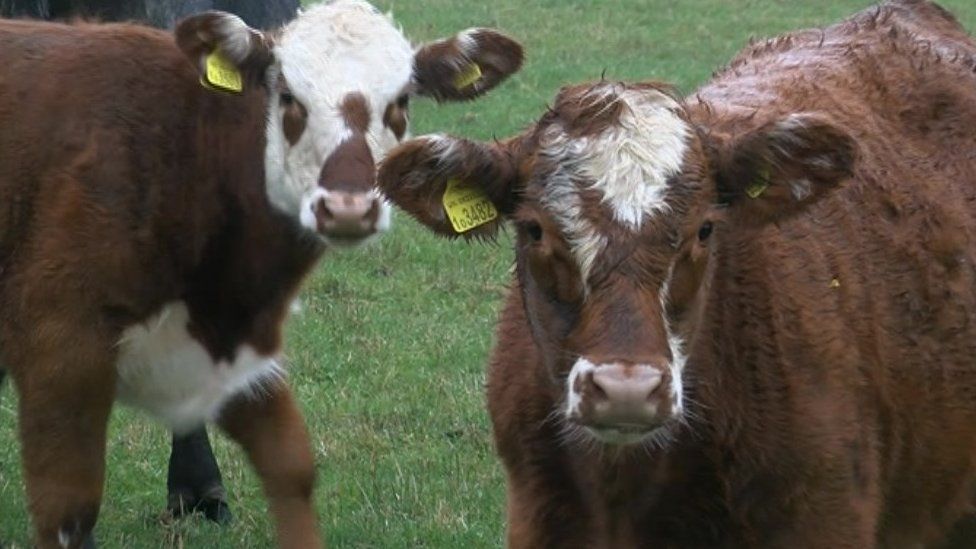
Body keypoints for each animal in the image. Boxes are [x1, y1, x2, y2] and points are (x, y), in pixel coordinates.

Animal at [0, 2, 528, 544]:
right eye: (289, 96)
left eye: (400, 100)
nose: (347, 209)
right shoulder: (62, 349)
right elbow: (68, 511)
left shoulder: (237, 343)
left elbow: (290, 465)